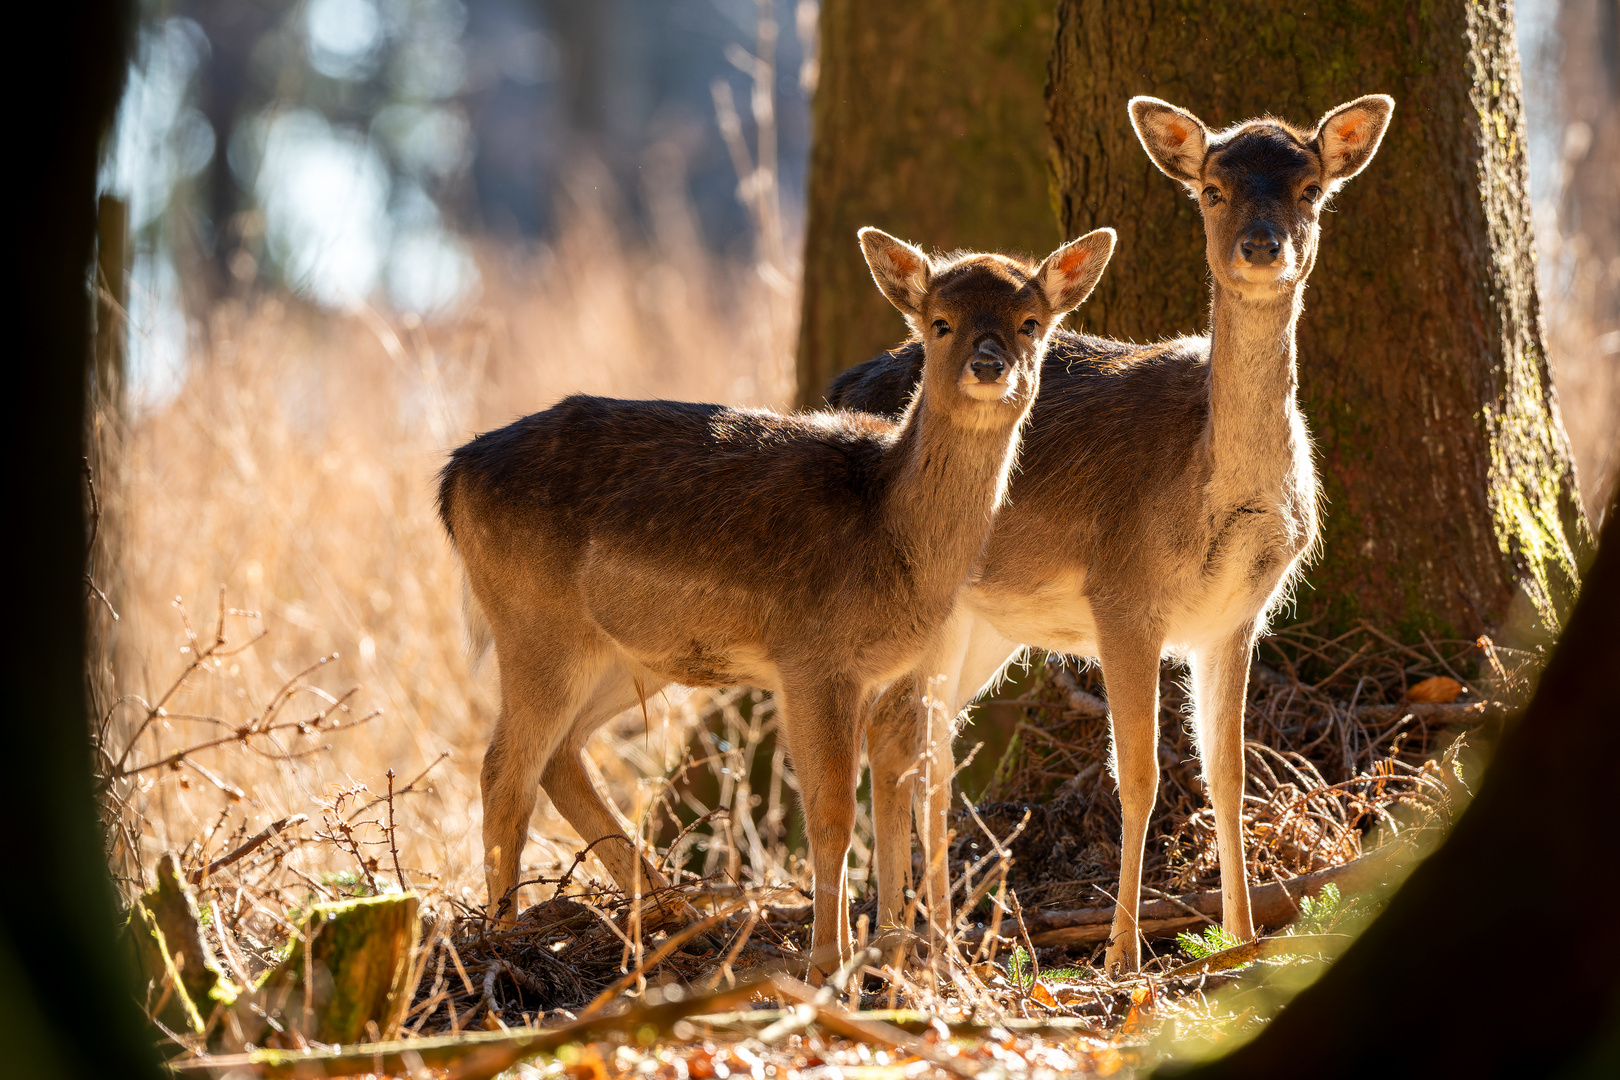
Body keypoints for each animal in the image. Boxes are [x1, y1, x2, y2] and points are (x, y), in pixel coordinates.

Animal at [437, 226, 1114, 971]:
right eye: (941, 322)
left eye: (1031, 323)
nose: (990, 364)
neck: (888, 529)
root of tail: (452, 479)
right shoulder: (814, 658)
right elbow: (832, 815)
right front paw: (828, 964)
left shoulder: (874, 673)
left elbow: (875, 795)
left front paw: (872, 956)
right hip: (536, 624)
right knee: (503, 770)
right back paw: (503, 938)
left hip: (624, 654)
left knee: (559, 759)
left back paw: (670, 913)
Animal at [835, 95, 1393, 971]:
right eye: (1211, 189)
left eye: (1310, 188)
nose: (1261, 246)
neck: (1212, 503)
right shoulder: (1122, 595)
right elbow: (1140, 774)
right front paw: (1123, 955)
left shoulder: (1236, 616)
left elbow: (1226, 771)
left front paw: (1239, 937)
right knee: (896, 738)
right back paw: (911, 945)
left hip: (985, 626)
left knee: (921, 747)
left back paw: (931, 944)